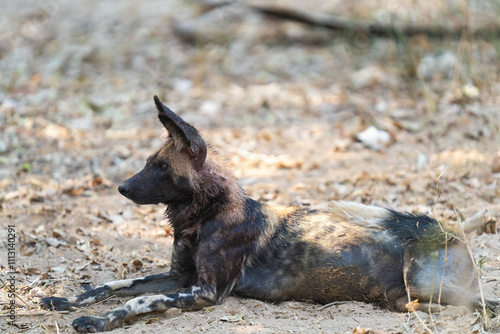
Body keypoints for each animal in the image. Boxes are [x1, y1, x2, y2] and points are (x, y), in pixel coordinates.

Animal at [41, 96, 498, 332]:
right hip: (405, 294)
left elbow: (140, 299)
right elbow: (112, 285)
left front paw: (98, 321)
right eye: (148, 163)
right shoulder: (179, 277)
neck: (205, 215)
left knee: (470, 305)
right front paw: (67, 300)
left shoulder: (204, 291)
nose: (121, 187)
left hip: (429, 287)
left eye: (161, 167)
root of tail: (450, 234)